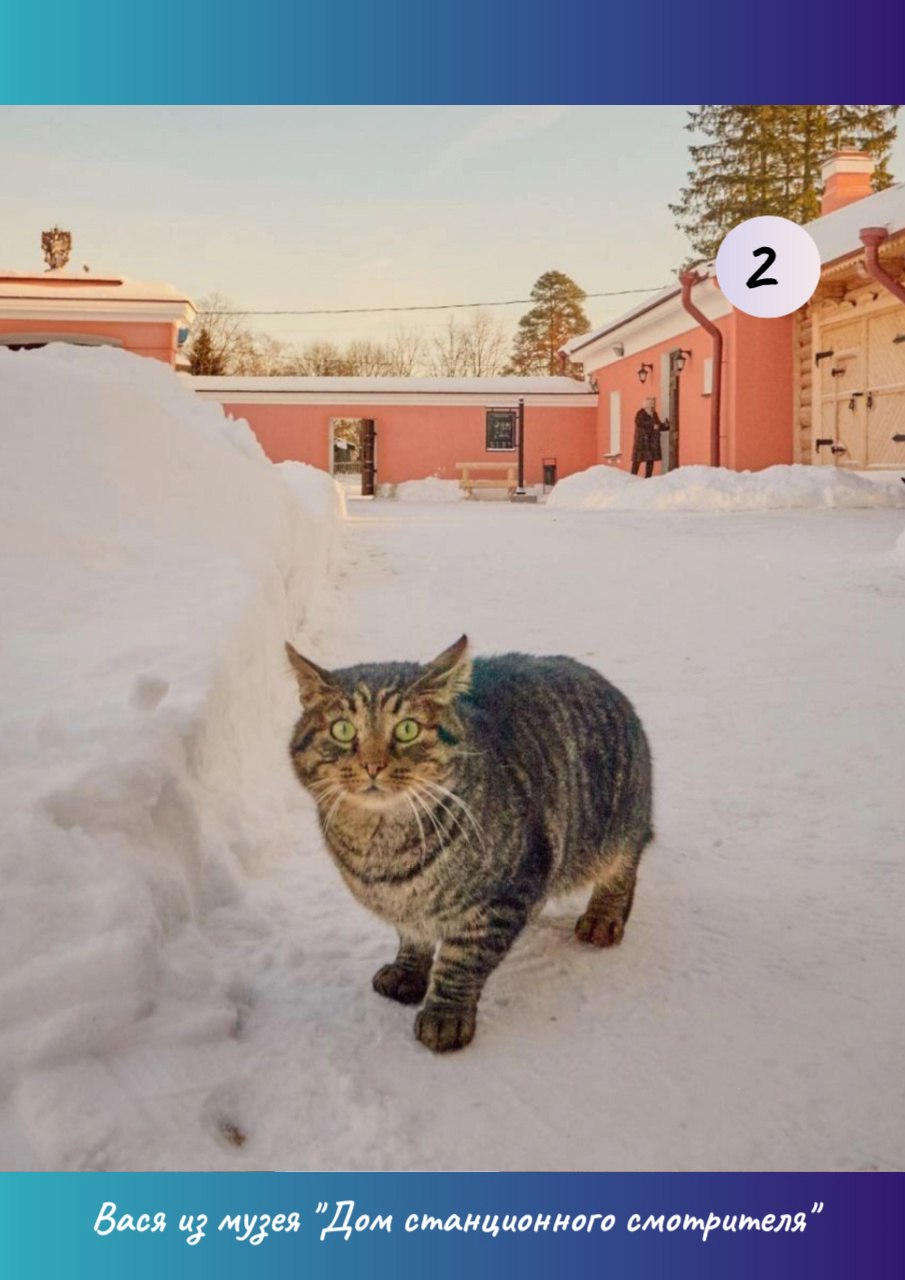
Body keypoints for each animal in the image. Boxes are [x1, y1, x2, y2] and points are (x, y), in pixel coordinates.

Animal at [288, 637, 650, 1049]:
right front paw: (408, 972)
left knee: (625, 866)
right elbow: (412, 936)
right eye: (343, 729)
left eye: (408, 729)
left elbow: (461, 962)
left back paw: (603, 917)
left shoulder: (504, 895)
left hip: (618, 827)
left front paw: (445, 1014)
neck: (382, 848)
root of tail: (605, 683)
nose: (373, 765)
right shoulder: (408, 906)